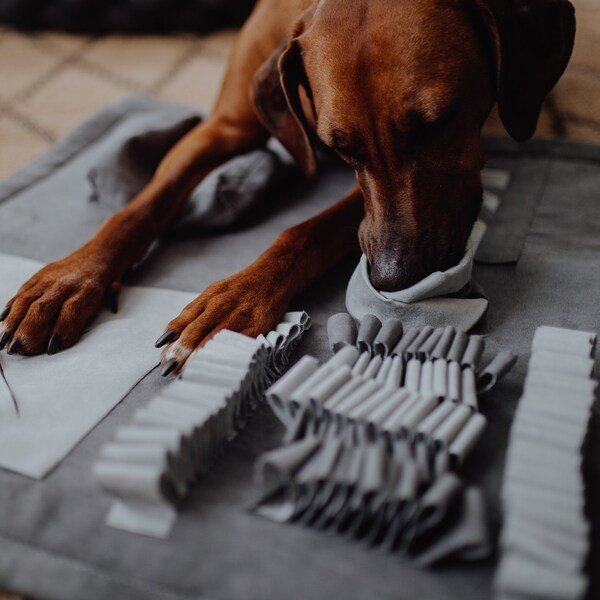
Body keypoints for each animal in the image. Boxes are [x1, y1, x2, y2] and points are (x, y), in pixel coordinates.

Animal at [0, 0, 576, 376]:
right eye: (342, 149)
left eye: (440, 123)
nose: (394, 278)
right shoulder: (224, 127)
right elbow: (137, 210)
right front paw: (68, 280)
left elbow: (305, 231)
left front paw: (233, 300)